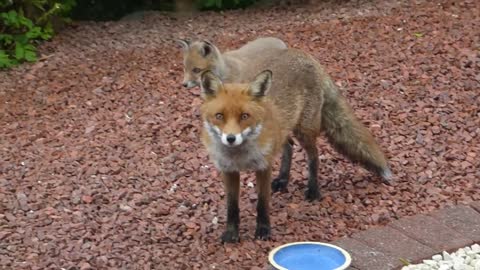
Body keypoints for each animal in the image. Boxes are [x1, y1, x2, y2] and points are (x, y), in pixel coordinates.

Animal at [178, 37, 392, 242]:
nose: (231, 138)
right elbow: (232, 208)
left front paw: (263, 230)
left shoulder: (263, 167)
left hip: (305, 131)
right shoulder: (228, 171)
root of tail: (304, 54)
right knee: (289, 146)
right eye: (219, 116)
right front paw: (231, 234)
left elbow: (262, 203)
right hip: (286, 130)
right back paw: (283, 179)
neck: (240, 156)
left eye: (245, 116)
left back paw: (313, 190)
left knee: (314, 156)